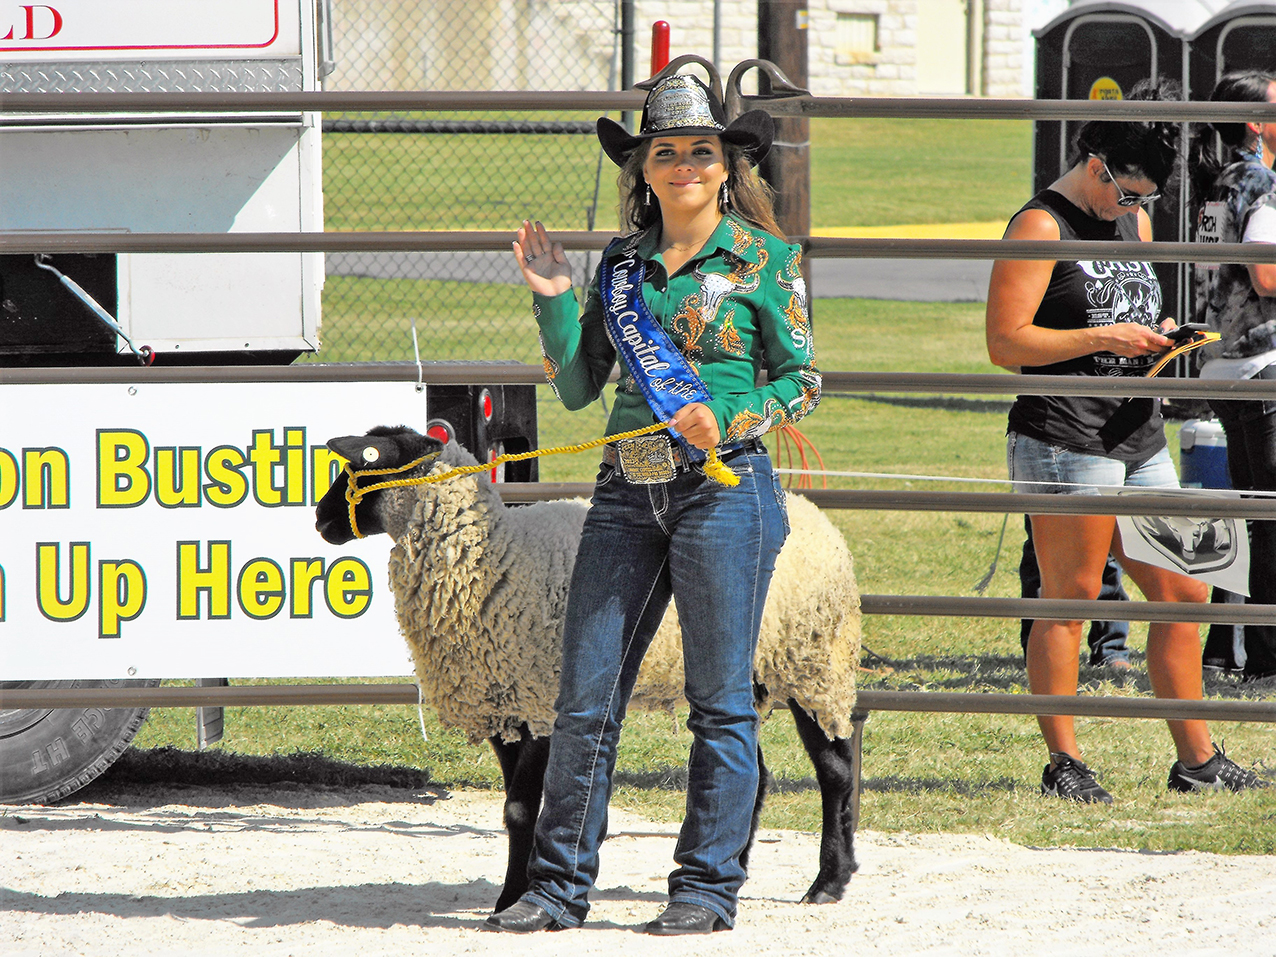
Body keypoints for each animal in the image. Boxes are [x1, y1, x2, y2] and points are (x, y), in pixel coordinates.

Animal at [313, 428, 862, 913]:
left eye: (362, 465)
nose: (320, 518)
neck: (492, 559)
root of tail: (815, 515)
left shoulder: (540, 705)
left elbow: (522, 810)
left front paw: (512, 898)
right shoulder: (506, 706)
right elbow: (513, 811)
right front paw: (514, 893)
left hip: (813, 661)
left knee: (835, 770)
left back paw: (828, 883)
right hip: (748, 673)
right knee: (757, 773)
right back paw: (738, 873)